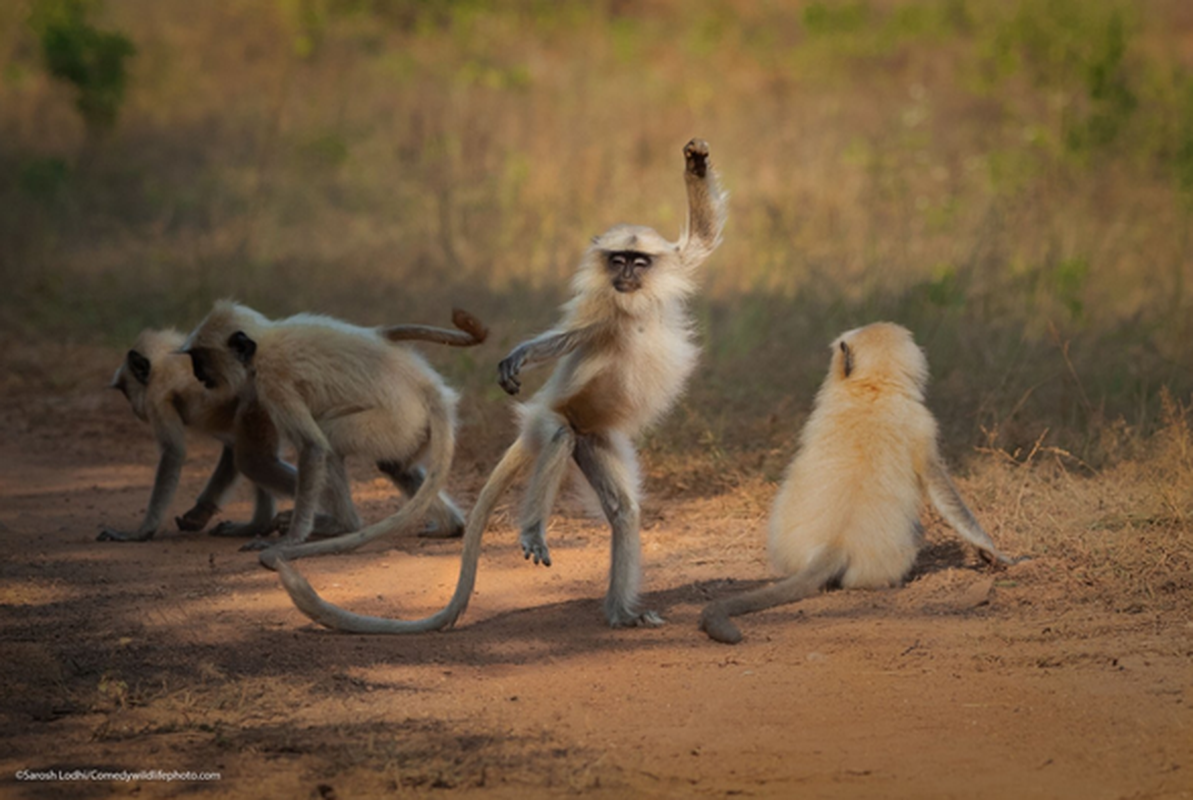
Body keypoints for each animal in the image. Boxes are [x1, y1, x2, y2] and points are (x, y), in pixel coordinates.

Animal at [274, 139, 730, 639]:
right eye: (618, 260)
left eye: (638, 262)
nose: (625, 274)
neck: (633, 302)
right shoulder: (599, 309)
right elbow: (563, 339)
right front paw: (521, 355)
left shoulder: (665, 270)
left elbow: (702, 240)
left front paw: (697, 162)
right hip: (554, 418)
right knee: (559, 437)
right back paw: (534, 531)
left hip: (596, 439)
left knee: (623, 510)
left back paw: (621, 613)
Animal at [696, 321, 1016, 648]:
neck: (873, 388)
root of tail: (835, 544)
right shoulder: (922, 423)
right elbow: (945, 493)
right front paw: (994, 551)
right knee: (915, 533)